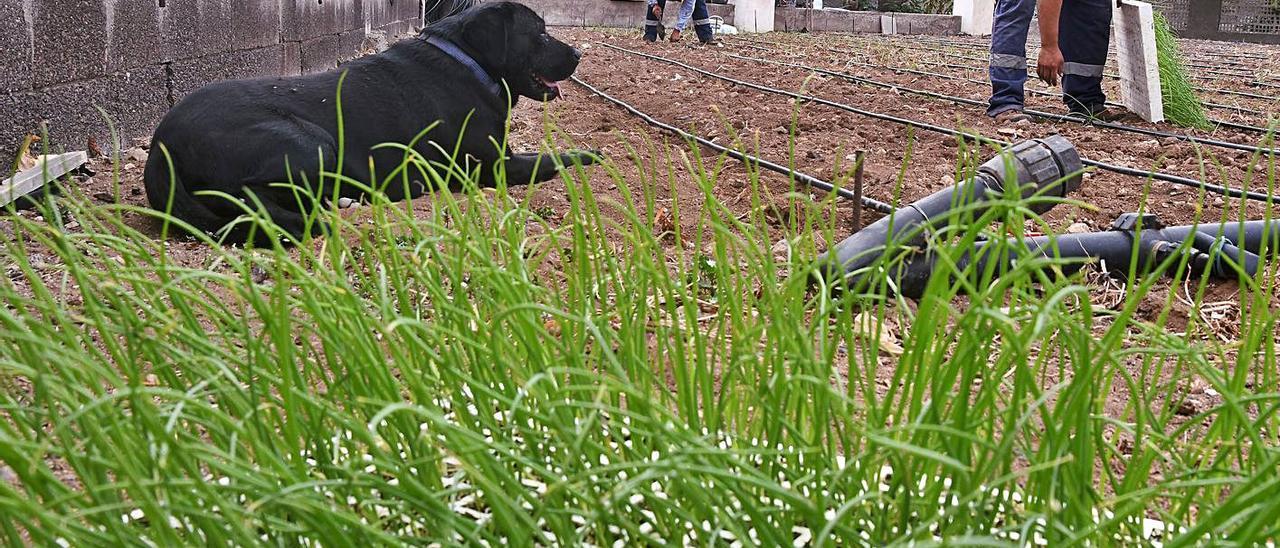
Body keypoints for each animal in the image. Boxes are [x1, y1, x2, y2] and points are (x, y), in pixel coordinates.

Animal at [147, 0, 596, 244]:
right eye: (539, 33)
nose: (578, 54)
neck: (467, 61)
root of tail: (160, 145)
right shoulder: (495, 166)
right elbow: (557, 157)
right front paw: (592, 155)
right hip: (310, 140)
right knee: (247, 196)